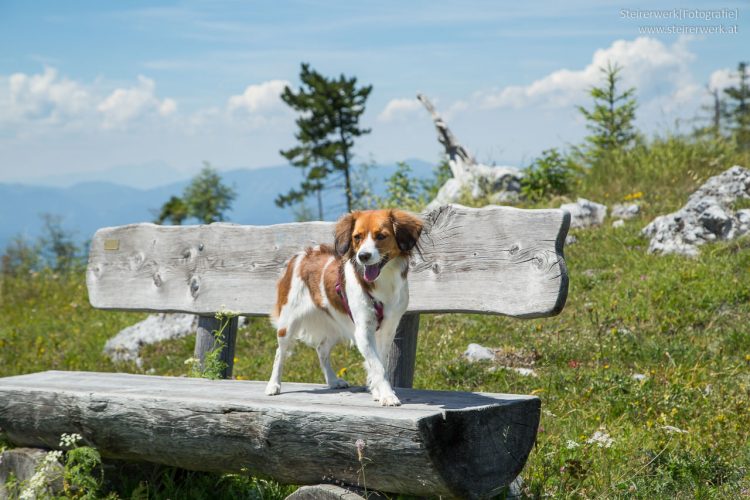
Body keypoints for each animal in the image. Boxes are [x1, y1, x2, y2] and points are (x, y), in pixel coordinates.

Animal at [268, 208, 426, 406]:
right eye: (357, 237)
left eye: (381, 236)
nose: (363, 256)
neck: (383, 282)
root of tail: (303, 255)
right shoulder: (363, 331)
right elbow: (377, 366)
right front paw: (387, 395)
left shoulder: (388, 329)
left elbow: (380, 362)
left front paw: (377, 391)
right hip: (288, 323)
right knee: (279, 353)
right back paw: (273, 385)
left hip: (336, 323)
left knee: (321, 349)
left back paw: (333, 380)